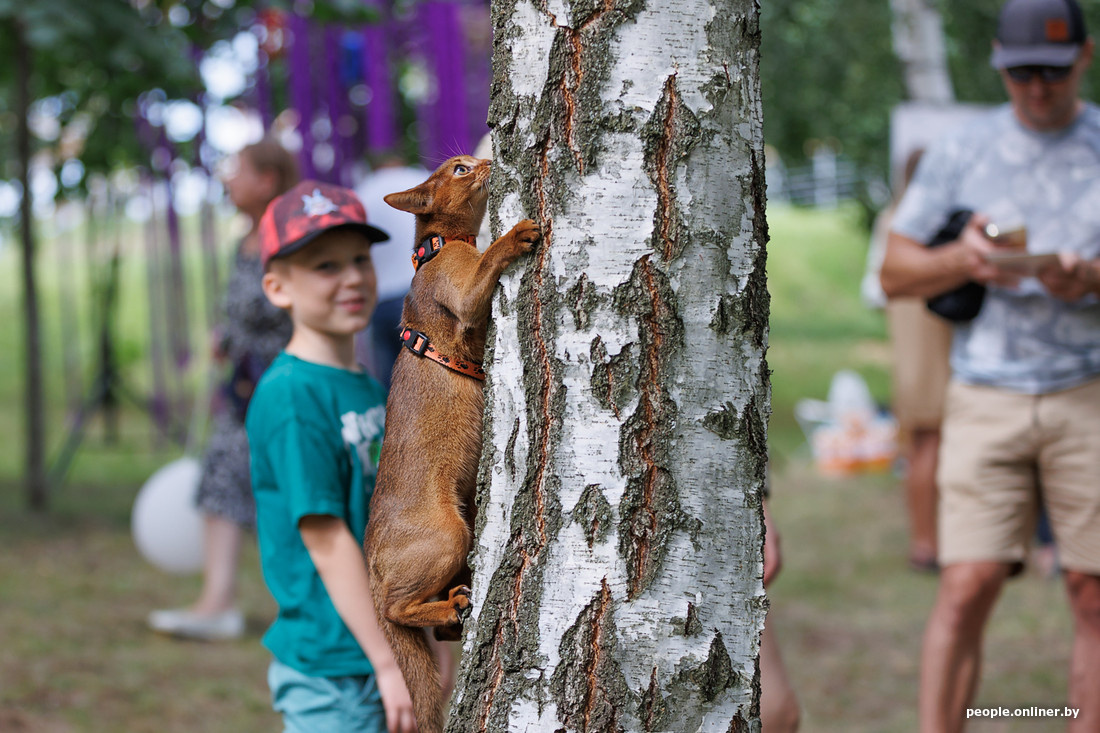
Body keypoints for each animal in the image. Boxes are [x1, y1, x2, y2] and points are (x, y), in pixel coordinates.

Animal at [365, 154, 541, 730]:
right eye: (461, 169)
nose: (489, 161)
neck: (435, 249)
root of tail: (369, 561)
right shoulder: (463, 294)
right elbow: (487, 262)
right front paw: (515, 234)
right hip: (449, 534)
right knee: (398, 610)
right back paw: (449, 607)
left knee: (435, 627)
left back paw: (458, 608)